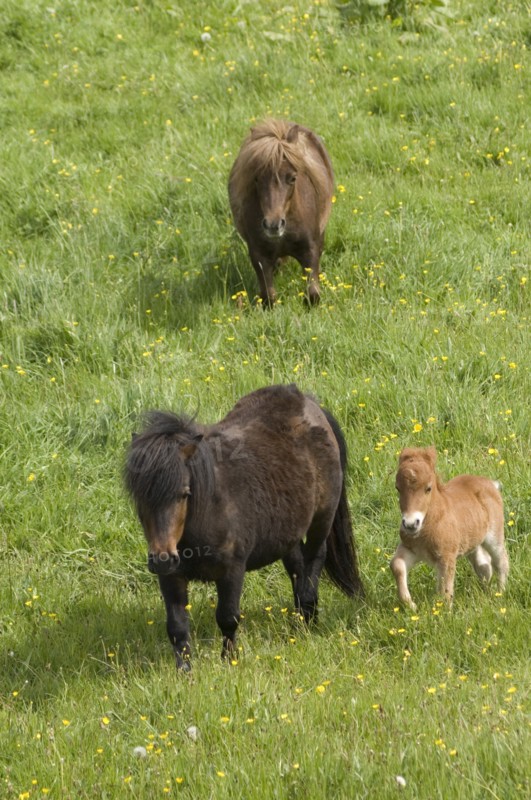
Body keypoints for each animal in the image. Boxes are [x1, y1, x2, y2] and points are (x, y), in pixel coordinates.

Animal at [125, 384, 363, 669]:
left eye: (184, 493)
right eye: (140, 499)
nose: (161, 558)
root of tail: (308, 401)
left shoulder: (232, 570)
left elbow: (228, 618)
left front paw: (230, 662)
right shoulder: (171, 576)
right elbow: (177, 627)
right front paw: (184, 672)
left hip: (322, 519)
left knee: (314, 561)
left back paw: (306, 618)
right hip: (287, 532)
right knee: (297, 566)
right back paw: (302, 622)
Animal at [228, 119, 334, 307]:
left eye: (292, 178)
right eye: (256, 178)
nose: (273, 225)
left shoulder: (311, 250)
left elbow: (313, 294)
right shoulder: (259, 255)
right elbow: (269, 297)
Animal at [391, 446, 509, 610]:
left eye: (428, 488)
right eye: (398, 488)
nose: (411, 524)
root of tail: (490, 483)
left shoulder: (446, 556)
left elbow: (445, 589)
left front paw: (443, 613)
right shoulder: (411, 549)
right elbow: (396, 565)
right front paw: (411, 605)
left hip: (494, 535)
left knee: (501, 560)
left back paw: (500, 593)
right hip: (472, 540)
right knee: (483, 564)